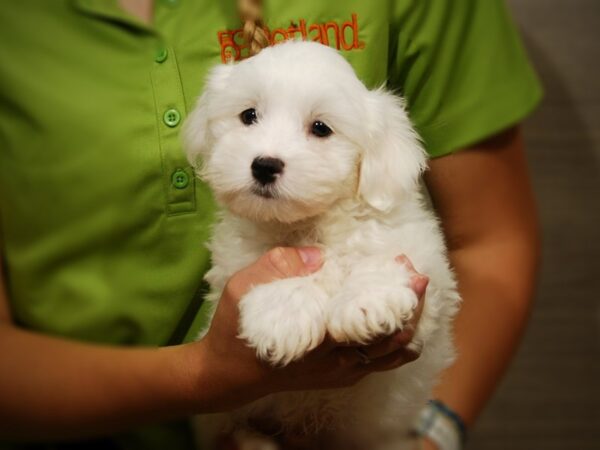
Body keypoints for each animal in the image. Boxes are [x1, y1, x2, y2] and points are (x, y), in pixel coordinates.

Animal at [183, 41, 460, 450]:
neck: (310, 224)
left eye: (320, 128)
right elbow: (275, 267)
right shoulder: (235, 267)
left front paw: (367, 301)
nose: (264, 165)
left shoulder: (430, 279)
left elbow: (387, 258)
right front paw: (283, 314)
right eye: (249, 115)